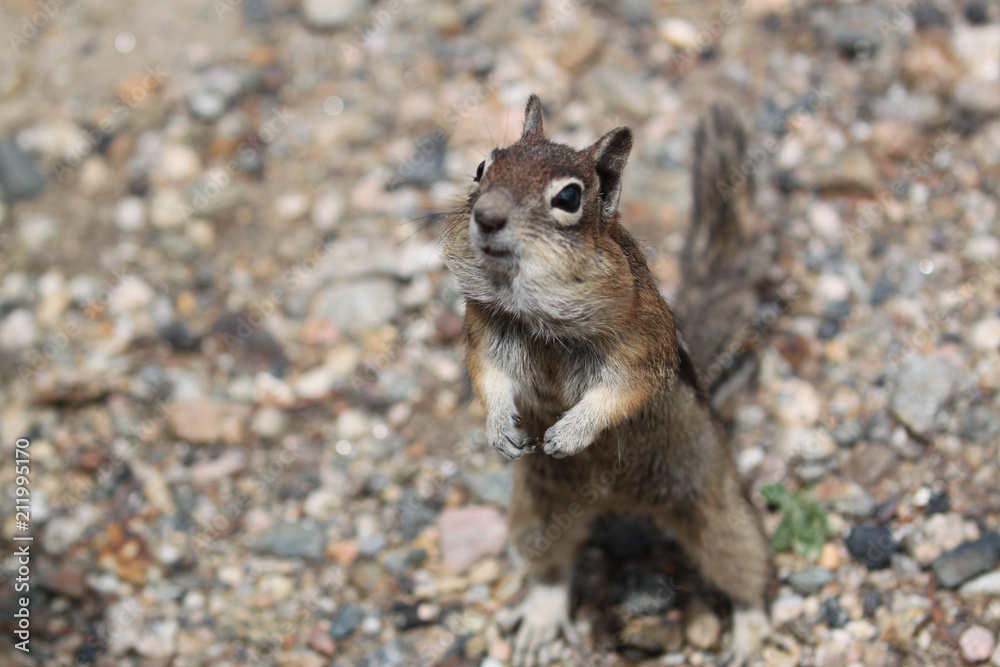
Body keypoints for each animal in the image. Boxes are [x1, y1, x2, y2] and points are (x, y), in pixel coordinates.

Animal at [442, 95, 771, 667]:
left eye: (569, 197)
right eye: (483, 166)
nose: (486, 217)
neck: (536, 312)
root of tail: (618, 502)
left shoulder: (639, 344)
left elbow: (621, 393)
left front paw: (569, 433)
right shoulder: (485, 331)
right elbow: (490, 378)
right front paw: (499, 429)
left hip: (719, 511)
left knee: (745, 571)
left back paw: (749, 635)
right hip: (536, 509)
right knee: (550, 567)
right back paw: (540, 618)